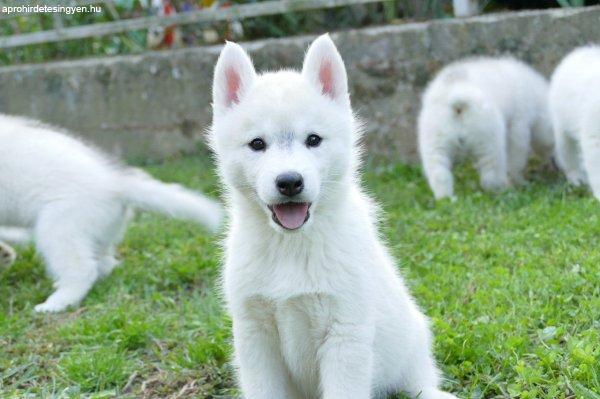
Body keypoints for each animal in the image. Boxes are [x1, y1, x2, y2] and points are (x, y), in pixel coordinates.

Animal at [0, 115, 223, 312]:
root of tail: (116, 183)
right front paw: (6, 252)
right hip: (97, 229)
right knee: (104, 263)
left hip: (58, 227)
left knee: (83, 269)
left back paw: (57, 303)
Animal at [209, 35, 458, 399]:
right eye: (257, 144)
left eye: (313, 140)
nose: (289, 182)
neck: (292, 247)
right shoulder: (255, 334)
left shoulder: (346, 334)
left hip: (412, 343)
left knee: (418, 383)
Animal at [418, 56, 552, 200]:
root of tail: (457, 101)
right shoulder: (519, 121)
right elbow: (516, 154)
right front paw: (519, 181)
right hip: (486, 132)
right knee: (491, 169)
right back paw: (501, 191)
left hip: (435, 133)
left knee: (438, 171)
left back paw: (447, 198)